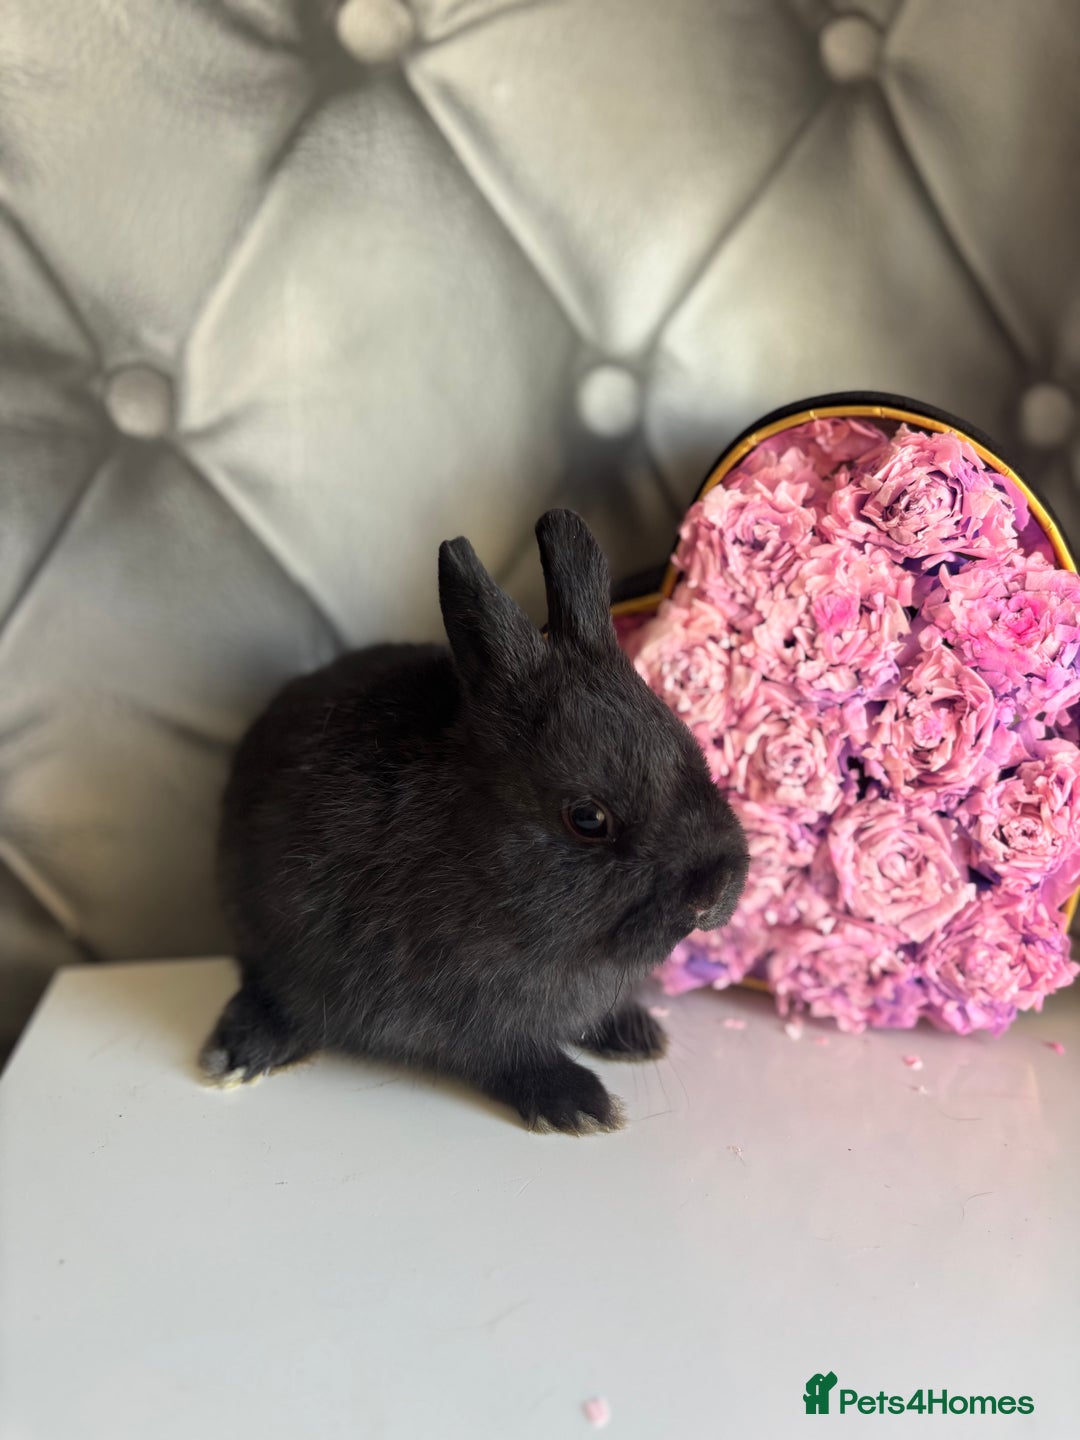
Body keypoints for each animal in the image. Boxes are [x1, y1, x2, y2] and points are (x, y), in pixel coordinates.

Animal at [200, 510, 748, 1133]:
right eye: (587, 819)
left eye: (691, 746)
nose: (715, 890)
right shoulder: (455, 1009)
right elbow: (504, 1054)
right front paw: (579, 1104)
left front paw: (636, 1035)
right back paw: (240, 1052)